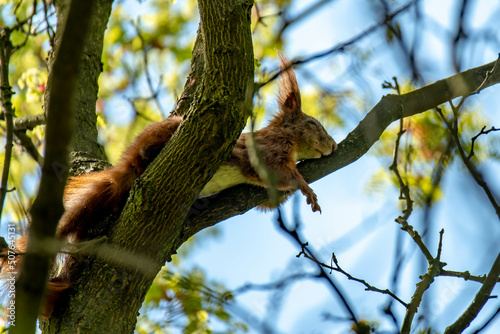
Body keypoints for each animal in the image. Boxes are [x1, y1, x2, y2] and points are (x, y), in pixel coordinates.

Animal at [0, 52, 336, 318]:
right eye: (313, 125)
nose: (332, 145)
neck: (288, 139)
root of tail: (127, 168)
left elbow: (270, 197)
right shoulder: (266, 151)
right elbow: (279, 172)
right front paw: (306, 189)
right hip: (165, 133)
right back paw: (151, 153)